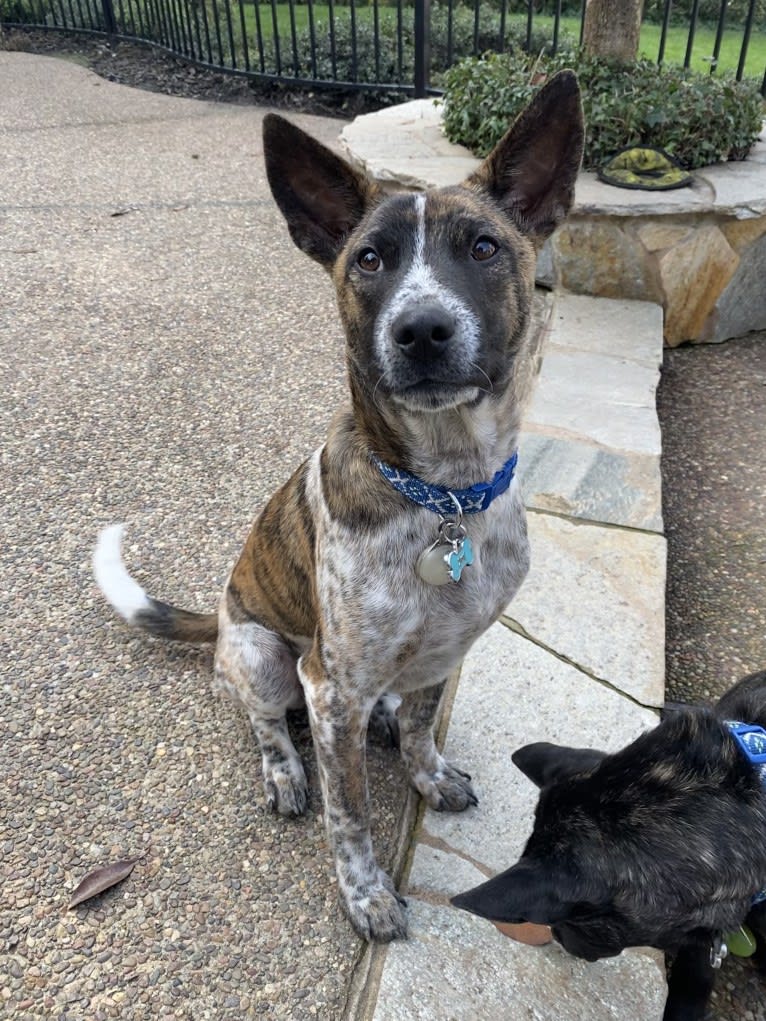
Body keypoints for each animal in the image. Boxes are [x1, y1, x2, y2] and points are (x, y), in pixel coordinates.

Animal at [94, 71, 588, 943]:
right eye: (369, 259)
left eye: (484, 247)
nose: (421, 329)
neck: (445, 494)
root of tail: (219, 618)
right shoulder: (330, 688)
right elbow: (349, 811)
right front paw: (366, 894)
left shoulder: (446, 652)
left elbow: (422, 728)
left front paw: (428, 773)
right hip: (262, 654)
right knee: (265, 722)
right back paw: (286, 771)